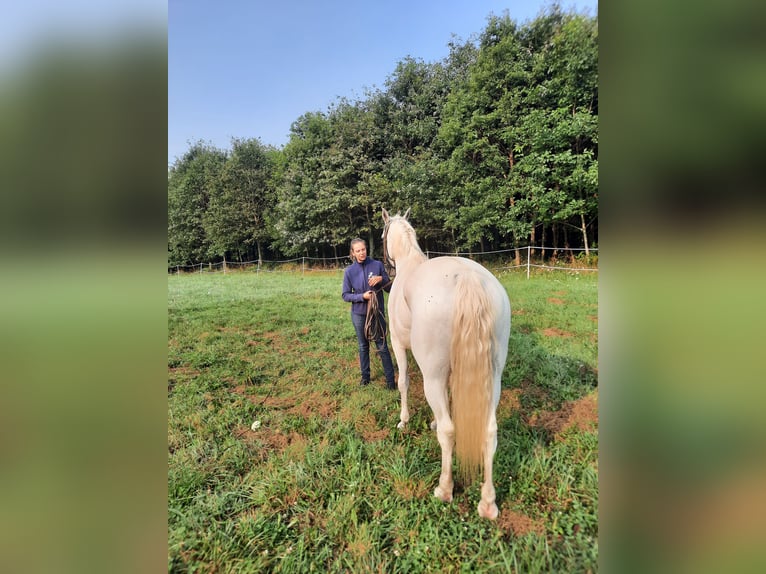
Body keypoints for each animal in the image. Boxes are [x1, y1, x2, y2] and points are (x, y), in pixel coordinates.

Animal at [382, 208, 512, 520]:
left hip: (434, 376)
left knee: (449, 431)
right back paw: (488, 503)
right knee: (489, 431)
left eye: (381, 235)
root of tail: (467, 277)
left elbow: (403, 382)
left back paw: (444, 489)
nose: (386, 272)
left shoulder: (397, 344)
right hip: (492, 379)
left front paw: (404, 421)